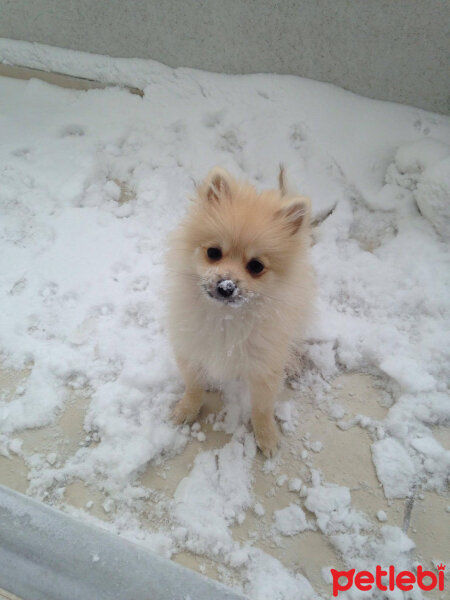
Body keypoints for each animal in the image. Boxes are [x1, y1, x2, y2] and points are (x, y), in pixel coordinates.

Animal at [165, 166, 312, 458]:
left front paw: (267, 436)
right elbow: (193, 386)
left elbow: (262, 407)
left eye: (256, 266)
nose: (226, 286)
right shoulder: (190, 349)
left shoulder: (264, 367)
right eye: (213, 252)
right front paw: (186, 409)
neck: (226, 318)